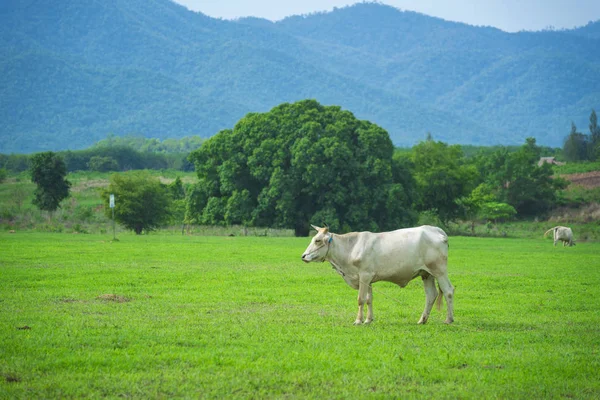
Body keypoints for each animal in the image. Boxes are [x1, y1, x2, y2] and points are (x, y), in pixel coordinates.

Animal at [300, 225, 454, 324]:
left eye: (317, 240)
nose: (303, 256)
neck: (351, 248)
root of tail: (435, 229)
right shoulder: (368, 279)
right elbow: (369, 299)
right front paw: (368, 320)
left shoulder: (364, 275)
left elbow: (361, 299)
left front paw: (358, 320)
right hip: (426, 273)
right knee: (431, 294)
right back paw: (422, 320)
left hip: (439, 271)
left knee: (448, 291)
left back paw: (449, 319)